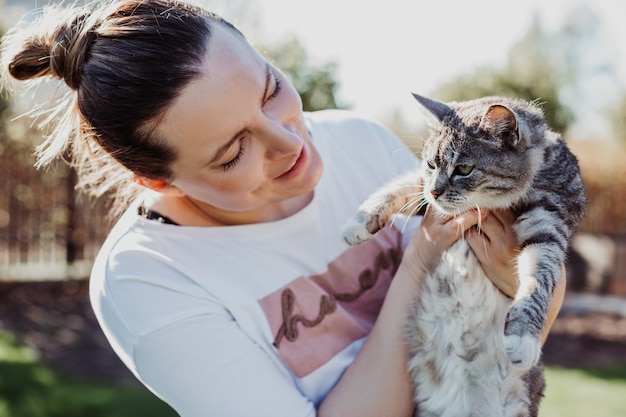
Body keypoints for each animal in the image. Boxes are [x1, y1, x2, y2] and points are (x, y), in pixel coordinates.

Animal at [342, 94, 580, 416]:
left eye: (464, 169)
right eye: (431, 164)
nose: (436, 191)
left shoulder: (548, 227)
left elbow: (538, 282)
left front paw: (523, 338)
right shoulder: (425, 193)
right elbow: (401, 186)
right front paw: (358, 222)